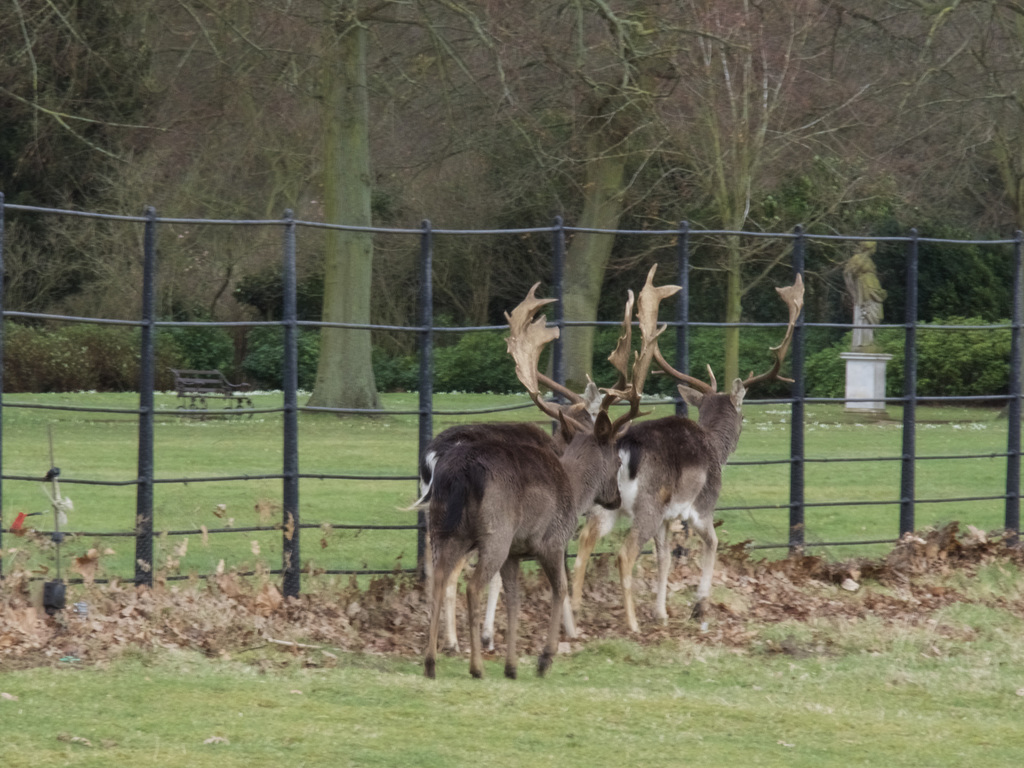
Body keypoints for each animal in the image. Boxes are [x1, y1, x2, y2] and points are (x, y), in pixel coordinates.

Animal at [419, 282, 659, 679]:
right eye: (617, 458)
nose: (614, 498)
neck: (573, 488)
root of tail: (459, 471)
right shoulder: (552, 539)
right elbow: (558, 589)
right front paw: (545, 658)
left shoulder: (517, 552)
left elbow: (514, 600)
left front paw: (513, 665)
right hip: (494, 531)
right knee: (471, 585)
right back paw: (475, 666)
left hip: (443, 528)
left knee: (437, 581)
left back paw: (431, 662)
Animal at [573, 268, 802, 630]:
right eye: (744, 414)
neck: (715, 447)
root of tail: (621, 448)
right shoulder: (702, 506)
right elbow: (713, 543)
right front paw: (700, 606)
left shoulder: (669, 518)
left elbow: (665, 558)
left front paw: (662, 611)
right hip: (648, 503)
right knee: (625, 553)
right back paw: (632, 623)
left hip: (605, 504)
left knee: (584, 543)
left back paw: (574, 613)